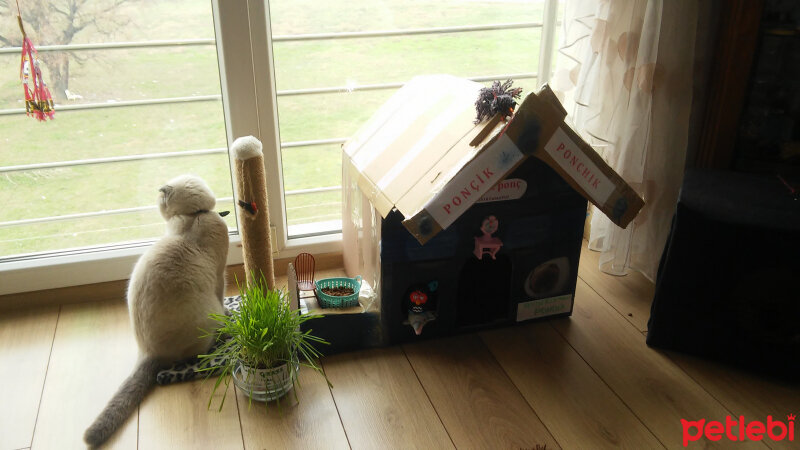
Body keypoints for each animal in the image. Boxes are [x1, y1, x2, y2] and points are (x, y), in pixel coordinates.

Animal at [85, 174, 228, 444]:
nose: (157, 205)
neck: (195, 215)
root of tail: (148, 352)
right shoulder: (219, 278)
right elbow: (224, 301)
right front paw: (230, 314)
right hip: (206, 316)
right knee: (199, 350)